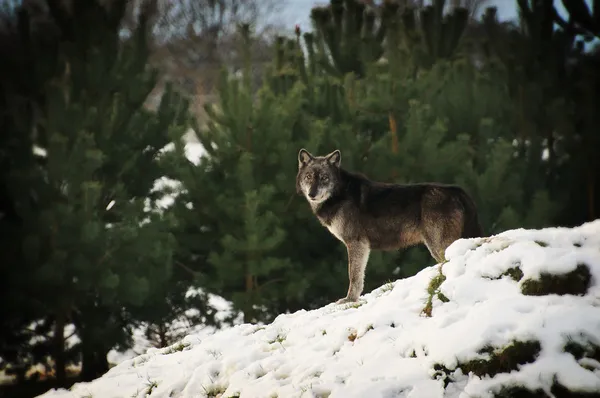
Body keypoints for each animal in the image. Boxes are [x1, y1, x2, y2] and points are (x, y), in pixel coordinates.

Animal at [296, 148, 482, 304]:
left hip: (438, 246)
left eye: (324, 178)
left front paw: (349, 300)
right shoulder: (362, 246)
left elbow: (354, 276)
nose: (312, 194)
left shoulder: (356, 243)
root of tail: (457, 190)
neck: (340, 194)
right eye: (309, 177)